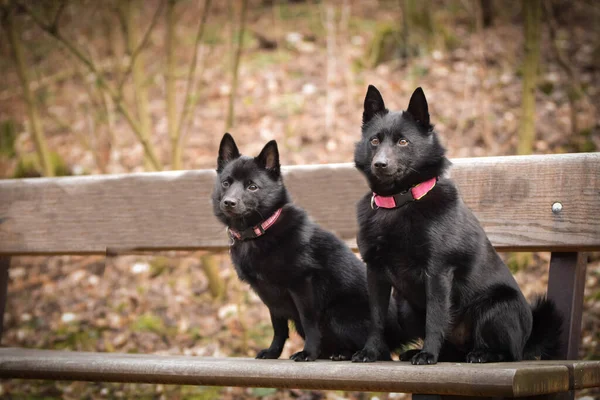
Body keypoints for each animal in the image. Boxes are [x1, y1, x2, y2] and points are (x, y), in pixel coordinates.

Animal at [213, 133, 406, 360]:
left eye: (252, 186)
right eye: (226, 183)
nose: (229, 202)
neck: (260, 231)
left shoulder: (302, 285)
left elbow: (309, 322)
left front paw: (308, 353)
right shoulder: (270, 297)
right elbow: (278, 327)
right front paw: (273, 352)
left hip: (337, 315)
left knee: (381, 352)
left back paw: (344, 354)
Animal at [352, 86, 564, 364]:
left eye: (403, 142)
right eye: (374, 141)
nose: (380, 164)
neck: (399, 203)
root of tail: (528, 341)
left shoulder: (438, 272)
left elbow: (435, 318)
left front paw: (428, 354)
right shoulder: (375, 272)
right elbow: (376, 319)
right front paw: (370, 351)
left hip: (495, 308)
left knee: (508, 353)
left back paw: (482, 354)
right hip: (406, 307)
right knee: (452, 350)